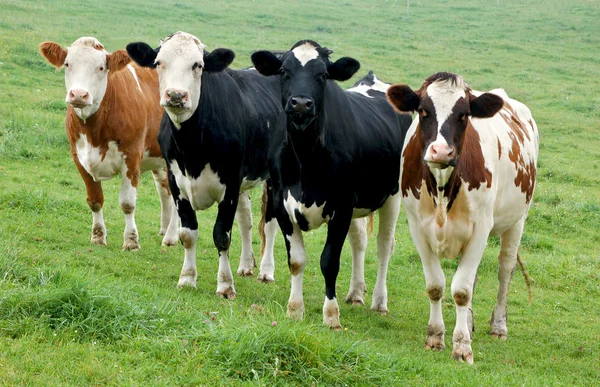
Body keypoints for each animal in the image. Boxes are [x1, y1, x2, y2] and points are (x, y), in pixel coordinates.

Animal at [40, 38, 178, 252]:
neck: (94, 131)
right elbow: (95, 200)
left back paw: (171, 237)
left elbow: (127, 203)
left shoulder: (132, 157)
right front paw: (98, 236)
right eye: (67, 64)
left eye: (101, 67)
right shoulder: (79, 157)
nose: (78, 94)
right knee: (165, 191)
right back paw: (166, 230)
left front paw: (131, 241)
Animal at [125, 31, 284, 298]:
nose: (176, 95)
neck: (192, 149)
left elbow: (221, 235)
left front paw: (225, 285)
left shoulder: (229, 185)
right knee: (246, 220)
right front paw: (187, 278)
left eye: (197, 65)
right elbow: (188, 234)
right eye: (158, 63)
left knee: (270, 224)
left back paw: (266, 271)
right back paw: (245, 265)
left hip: (274, 176)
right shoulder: (177, 183)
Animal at [251, 40, 414, 330]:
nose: (301, 103)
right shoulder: (282, 204)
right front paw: (295, 309)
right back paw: (356, 293)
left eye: (323, 75)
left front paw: (331, 315)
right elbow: (296, 260)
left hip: (393, 195)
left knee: (384, 245)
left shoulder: (342, 207)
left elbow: (329, 261)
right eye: (283, 71)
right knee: (359, 241)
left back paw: (379, 301)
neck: (305, 158)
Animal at [386, 72, 540, 364]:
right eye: (423, 110)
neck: (442, 187)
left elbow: (461, 290)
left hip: (517, 220)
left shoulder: (481, 228)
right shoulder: (417, 228)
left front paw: (462, 346)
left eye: (464, 115)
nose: (441, 152)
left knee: (505, 270)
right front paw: (435, 337)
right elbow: (436, 286)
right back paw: (468, 323)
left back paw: (498, 325)